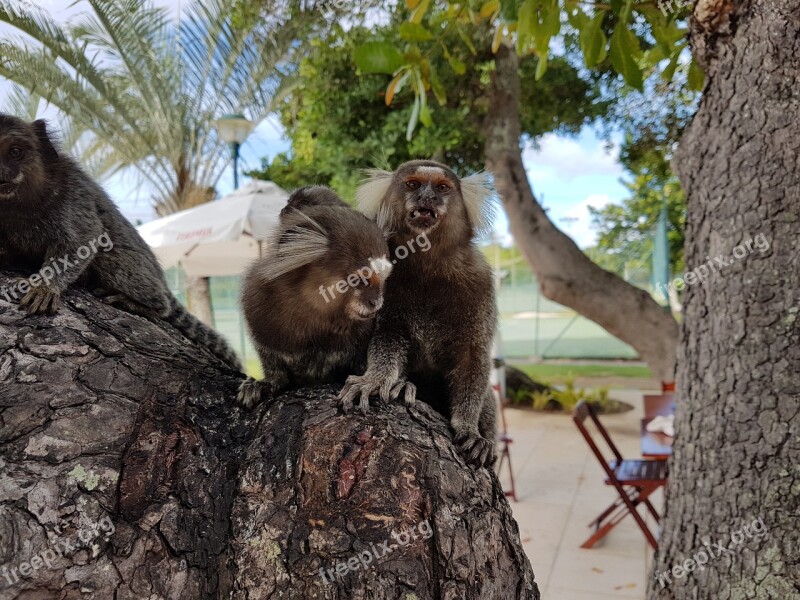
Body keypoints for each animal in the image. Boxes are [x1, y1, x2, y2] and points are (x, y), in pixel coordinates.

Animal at [0, 113, 241, 370]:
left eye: (15, 152)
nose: (2, 172)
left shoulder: (72, 193)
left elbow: (85, 238)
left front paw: (46, 286)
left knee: (121, 269)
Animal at [234, 184, 390, 408]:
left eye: (383, 280)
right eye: (359, 280)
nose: (376, 303)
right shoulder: (258, 312)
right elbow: (271, 360)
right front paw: (267, 382)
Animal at [340, 159, 500, 468]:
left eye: (442, 188)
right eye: (413, 184)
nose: (428, 197)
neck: (428, 264)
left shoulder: (480, 282)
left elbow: (473, 356)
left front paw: (468, 429)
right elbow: (387, 336)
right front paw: (377, 380)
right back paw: (404, 386)